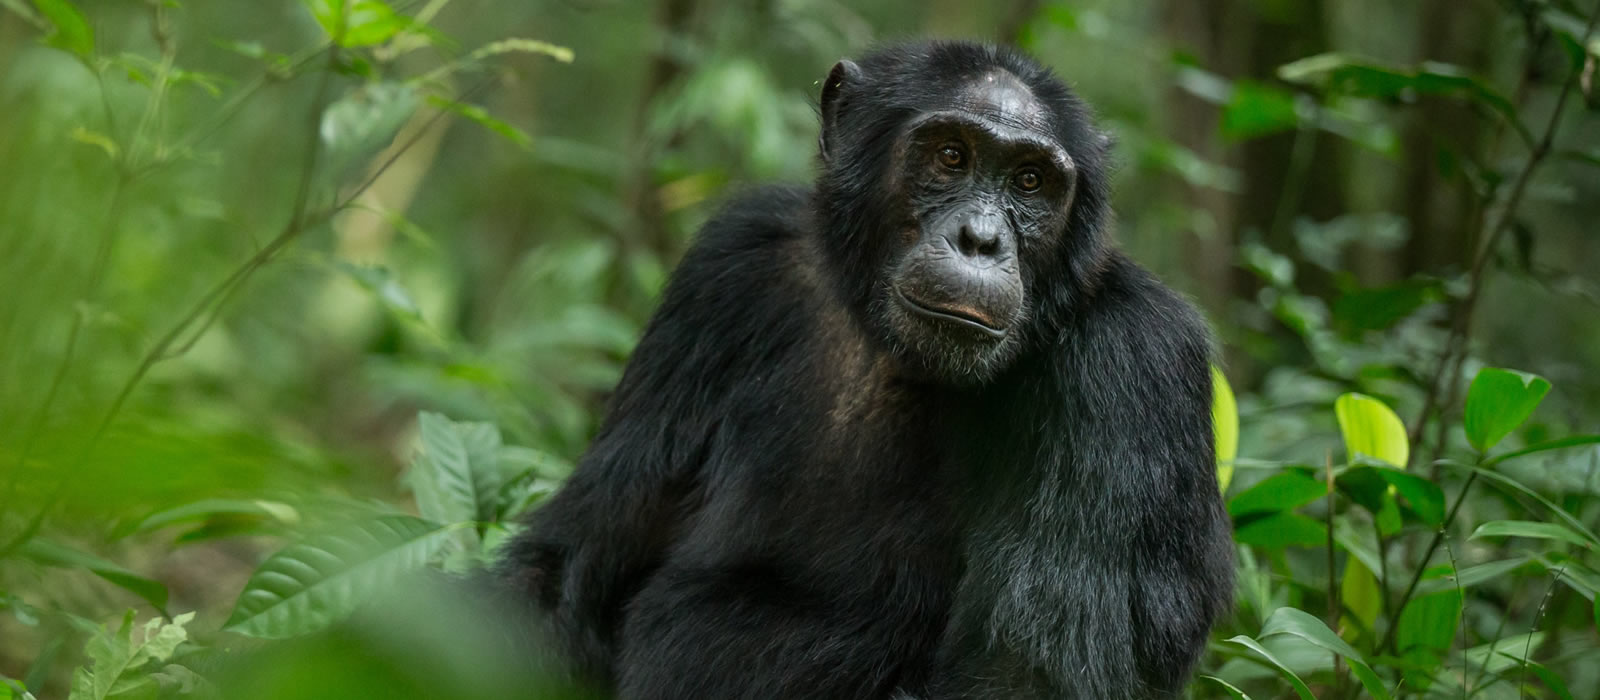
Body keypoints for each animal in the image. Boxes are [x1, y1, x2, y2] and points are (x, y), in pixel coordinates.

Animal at [499, 40, 1235, 700]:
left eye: (1029, 180)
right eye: (950, 156)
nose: (980, 239)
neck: (889, 347)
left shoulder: (1133, 366)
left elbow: (1024, 682)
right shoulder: (726, 267)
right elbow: (569, 569)